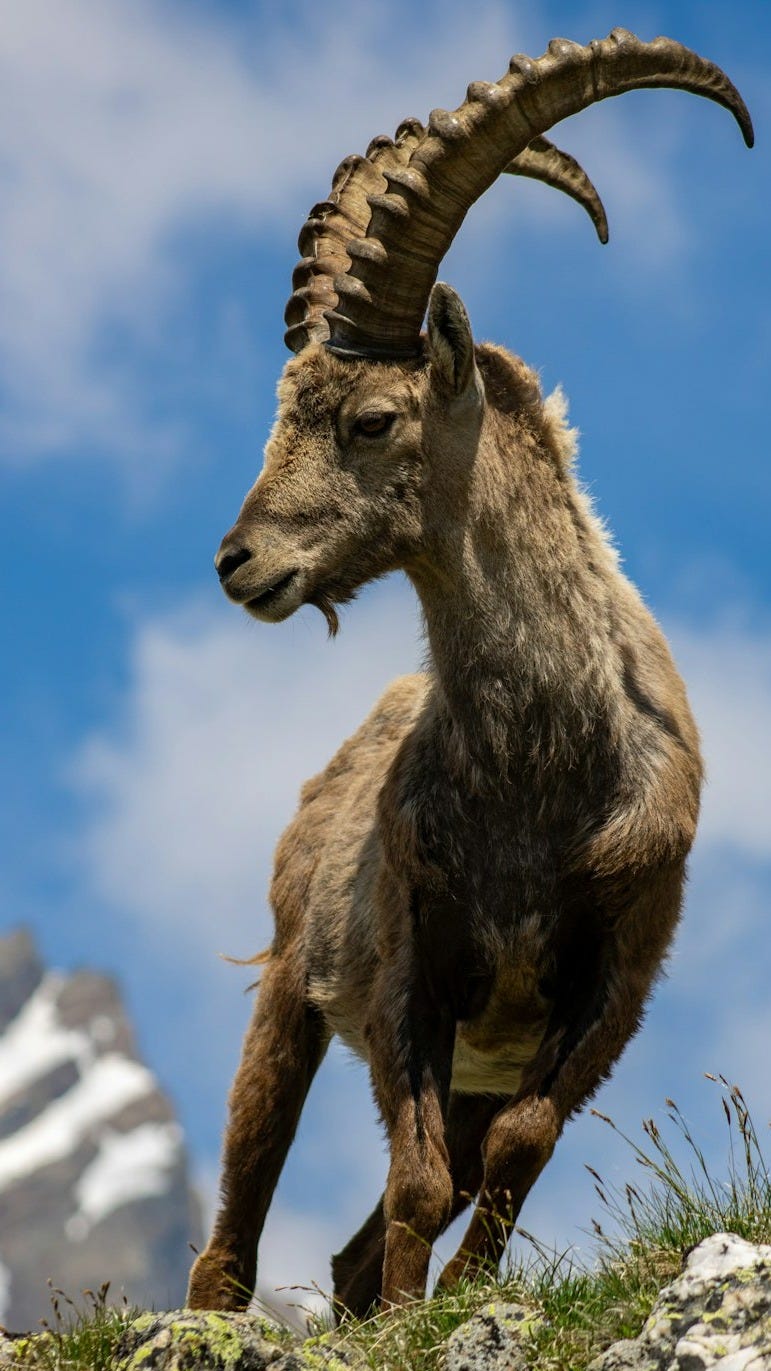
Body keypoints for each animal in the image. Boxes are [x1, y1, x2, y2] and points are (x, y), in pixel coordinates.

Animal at [186, 30, 752, 1316]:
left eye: (372, 419)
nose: (239, 563)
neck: (541, 768)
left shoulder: (612, 977)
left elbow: (511, 1154)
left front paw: (457, 1305)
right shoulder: (412, 966)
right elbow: (421, 1177)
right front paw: (417, 1313)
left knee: (368, 1232)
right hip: (291, 988)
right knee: (233, 1228)